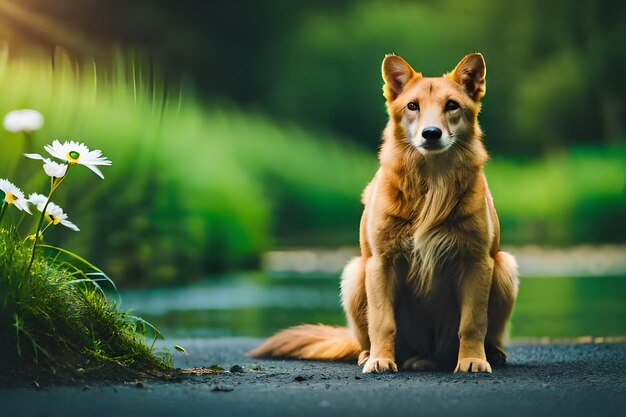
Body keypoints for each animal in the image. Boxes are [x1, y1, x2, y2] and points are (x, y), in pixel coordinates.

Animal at [249, 52, 516, 374]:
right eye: (412, 106)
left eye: (452, 105)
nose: (431, 133)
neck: (432, 183)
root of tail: (429, 354)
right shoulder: (381, 263)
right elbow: (382, 322)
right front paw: (381, 359)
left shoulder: (477, 261)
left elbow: (473, 322)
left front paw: (473, 360)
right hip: (355, 274)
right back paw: (372, 355)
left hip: (505, 267)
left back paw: (491, 353)